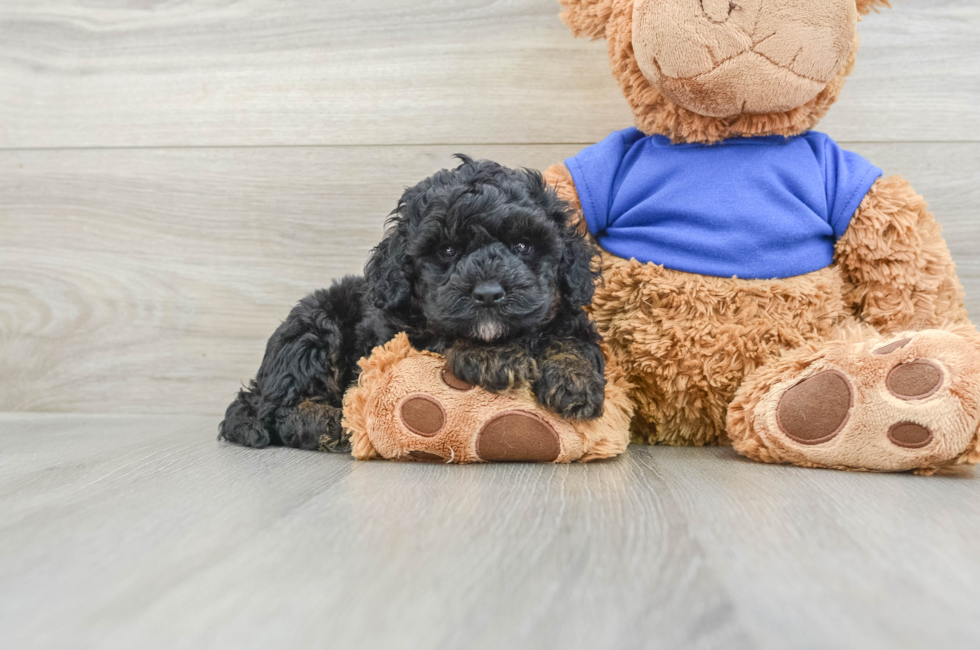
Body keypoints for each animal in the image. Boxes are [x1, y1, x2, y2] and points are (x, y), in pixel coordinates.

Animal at [221, 156, 604, 450]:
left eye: (523, 246)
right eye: (447, 250)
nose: (488, 293)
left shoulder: (569, 315)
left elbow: (573, 340)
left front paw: (574, 380)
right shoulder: (403, 333)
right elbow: (446, 333)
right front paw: (491, 356)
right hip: (314, 329)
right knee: (279, 411)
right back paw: (327, 423)